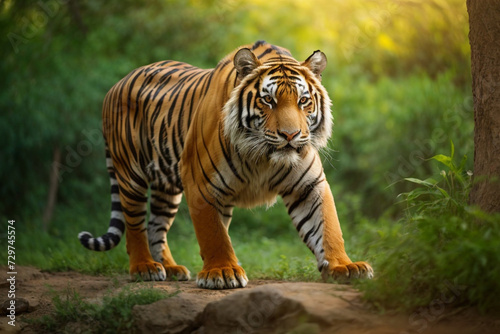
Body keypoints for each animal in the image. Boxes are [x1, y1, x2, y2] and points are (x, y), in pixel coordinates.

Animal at [79, 40, 372, 288]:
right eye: (268, 100)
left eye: (303, 101)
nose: (290, 135)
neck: (264, 157)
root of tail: (117, 83)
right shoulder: (200, 182)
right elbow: (214, 233)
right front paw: (222, 271)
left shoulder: (309, 185)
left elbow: (327, 227)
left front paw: (345, 266)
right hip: (131, 174)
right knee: (135, 224)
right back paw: (144, 268)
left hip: (167, 188)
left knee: (156, 226)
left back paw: (171, 268)